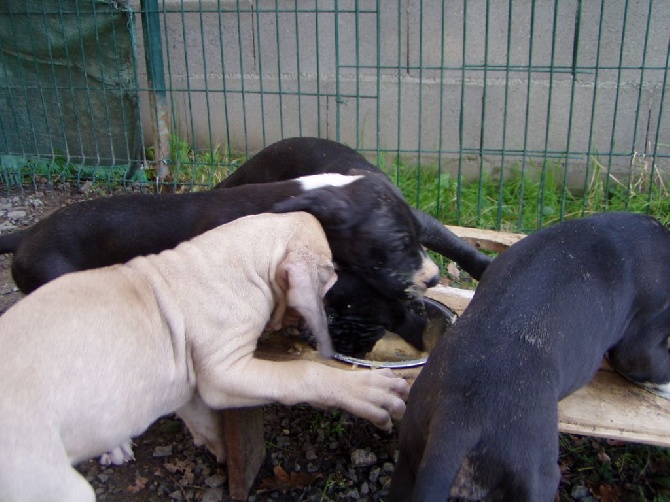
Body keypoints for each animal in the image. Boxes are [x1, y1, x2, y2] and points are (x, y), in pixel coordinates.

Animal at [0, 213, 410, 502]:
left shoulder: (182, 383)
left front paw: (221, 453)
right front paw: (363, 390)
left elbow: (204, 421)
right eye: (331, 274)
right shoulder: (225, 372)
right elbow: (303, 375)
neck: (236, 262)